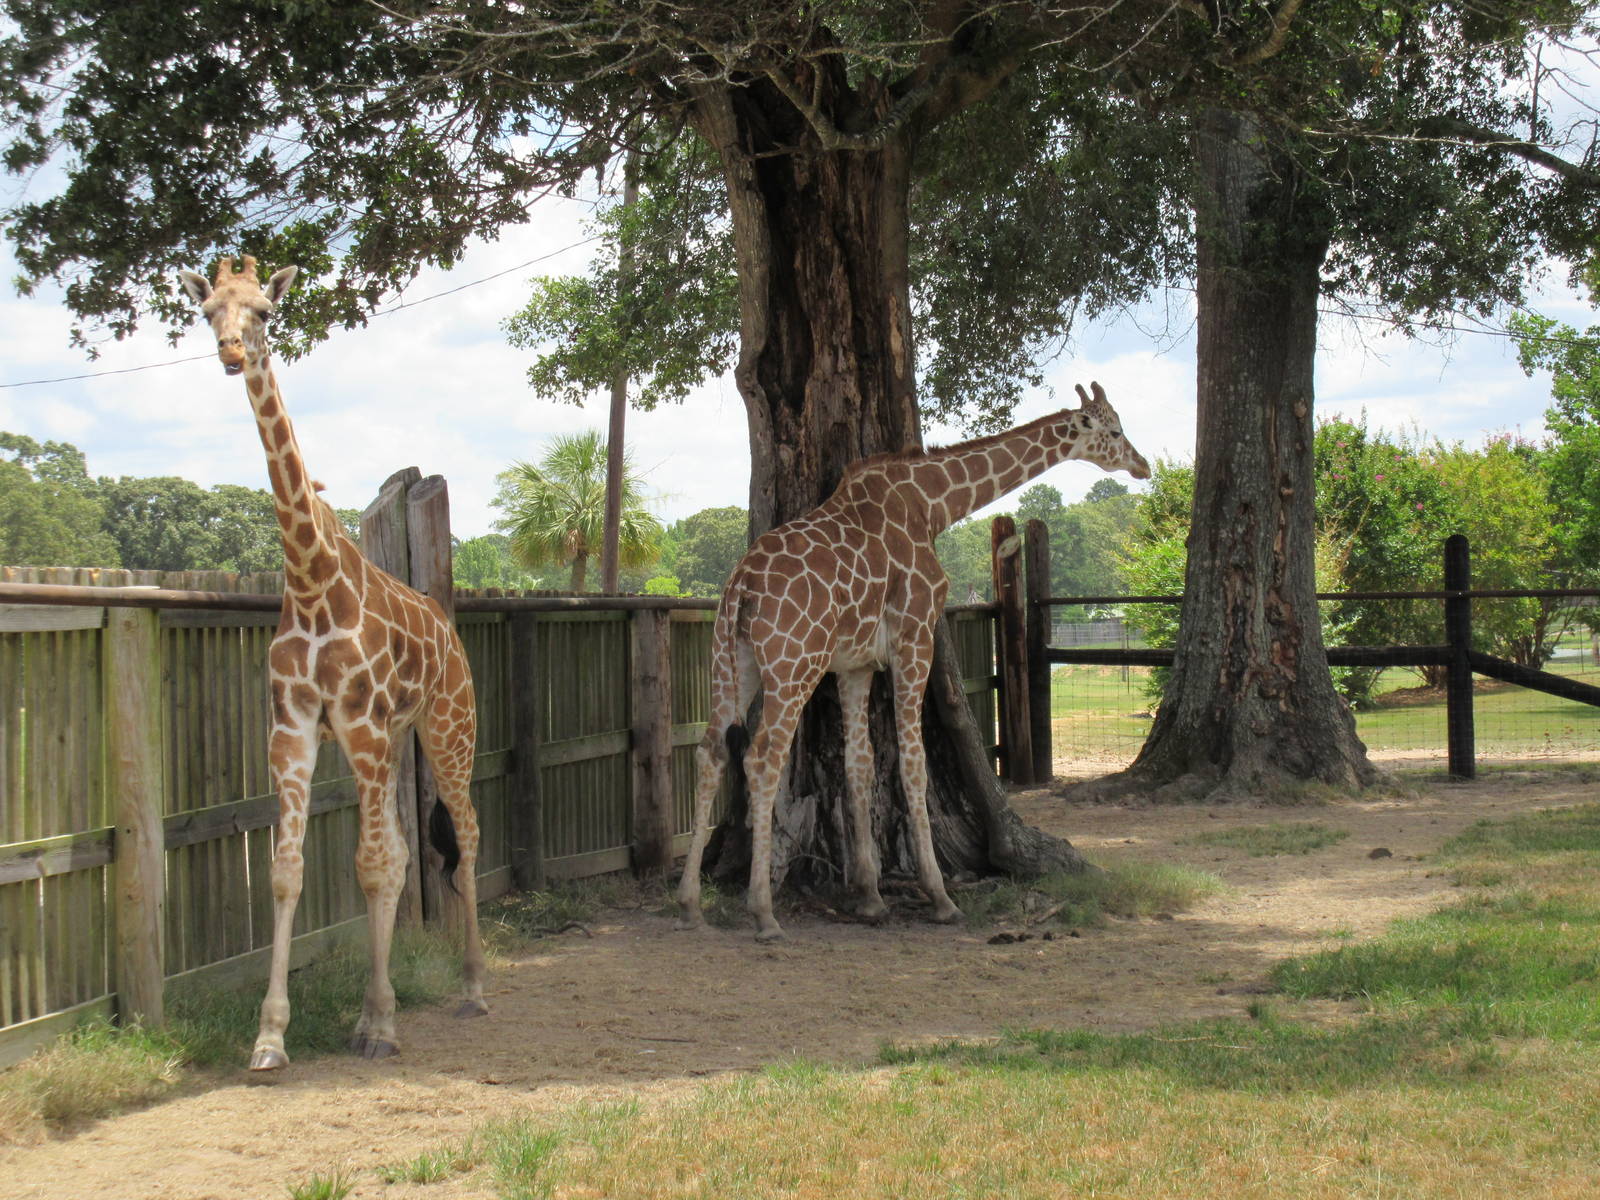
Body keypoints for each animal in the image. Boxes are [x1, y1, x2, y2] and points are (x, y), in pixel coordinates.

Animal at [179, 257, 487, 1070]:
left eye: (263, 310)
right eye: (209, 311)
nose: (231, 352)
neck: (312, 578)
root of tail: (451, 636)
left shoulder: (361, 725)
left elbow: (371, 865)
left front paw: (377, 1023)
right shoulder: (293, 728)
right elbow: (288, 872)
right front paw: (270, 1037)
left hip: (447, 728)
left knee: (464, 835)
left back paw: (473, 986)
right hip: (396, 737)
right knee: (410, 850)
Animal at [677, 383, 1150, 941]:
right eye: (1114, 430)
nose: (1143, 466)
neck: (933, 504)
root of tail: (741, 587)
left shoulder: (855, 664)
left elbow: (859, 764)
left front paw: (869, 896)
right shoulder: (915, 635)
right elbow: (912, 762)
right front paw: (940, 896)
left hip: (733, 660)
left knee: (711, 750)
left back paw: (689, 902)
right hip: (795, 662)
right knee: (761, 755)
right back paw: (763, 912)